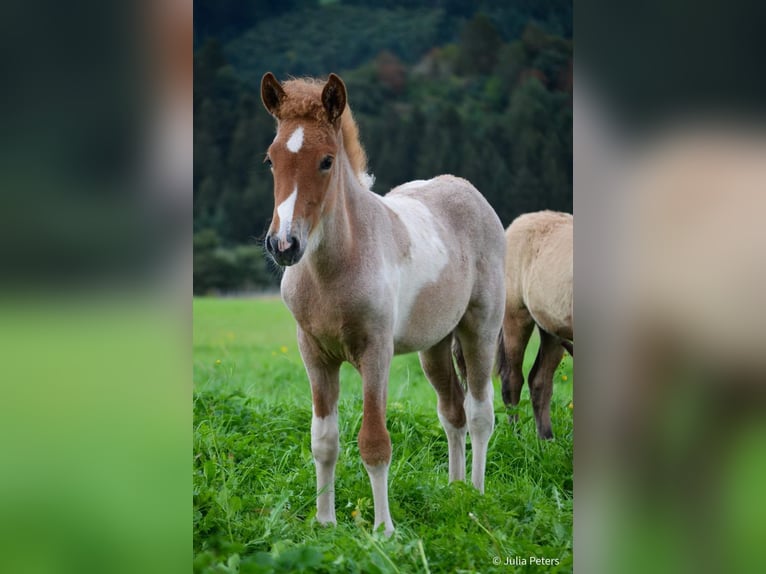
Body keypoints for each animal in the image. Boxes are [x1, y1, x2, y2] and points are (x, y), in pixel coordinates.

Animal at [260, 72, 508, 536]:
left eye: (326, 161)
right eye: (271, 160)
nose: (283, 245)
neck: (334, 269)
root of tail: (468, 190)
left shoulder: (376, 353)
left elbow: (375, 442)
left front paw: (383, 530)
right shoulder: (314, 354)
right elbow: (324, 441)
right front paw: (324, 522)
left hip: (480, 330)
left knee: (480, 412)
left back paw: (477, 496)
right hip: (434, 345)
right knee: (452, 412)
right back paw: (454, 491)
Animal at [498, 212, 576, 440]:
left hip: (551, 329)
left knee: (540, 381)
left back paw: (546, 439)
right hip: (515, 317)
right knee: (512, 379)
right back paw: (516, 437)